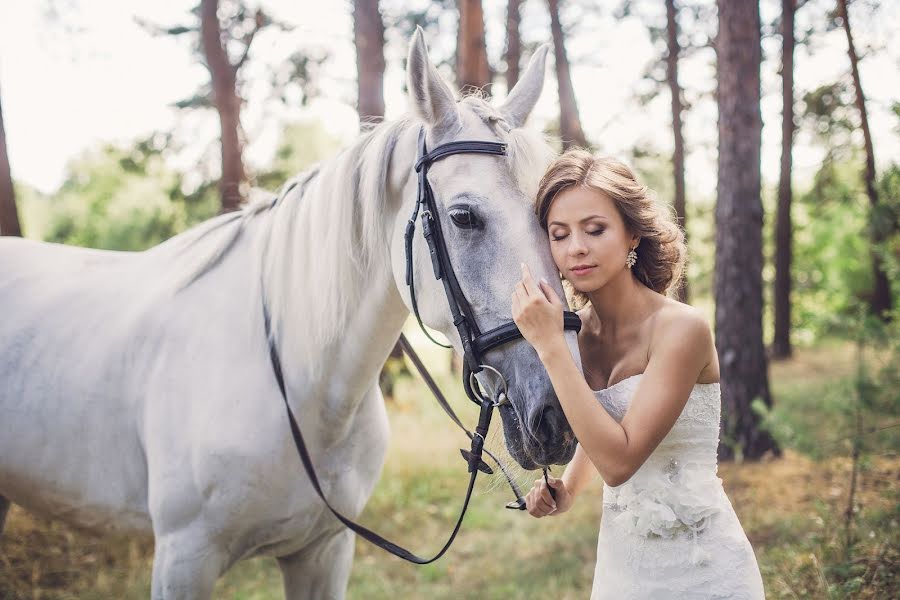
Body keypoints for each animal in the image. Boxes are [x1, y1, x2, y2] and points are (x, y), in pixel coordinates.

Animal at [0, 32, 576, 600]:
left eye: (549, 215)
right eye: (462, 217)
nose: (560, 416)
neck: (304, 391)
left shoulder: (323, 552)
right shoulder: (185, 557)